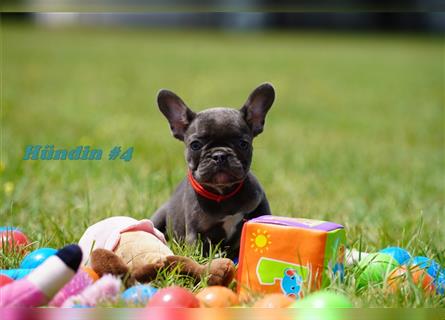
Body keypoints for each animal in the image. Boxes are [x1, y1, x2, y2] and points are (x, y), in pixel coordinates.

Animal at [154, 82, 276, 258]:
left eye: (243, 144)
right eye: (195, 145)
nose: (219, 155)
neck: (222, 194)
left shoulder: (258, 202)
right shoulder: (196, 234)